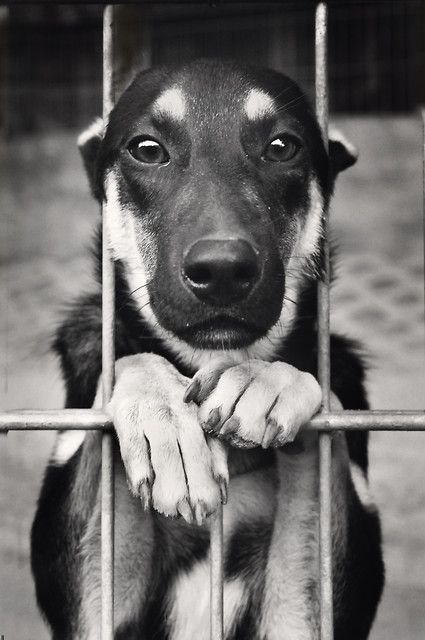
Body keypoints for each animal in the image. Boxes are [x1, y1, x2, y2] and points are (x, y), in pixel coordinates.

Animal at [30, 61, 384, 640]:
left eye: (282, 146)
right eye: (147, 149)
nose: (222, 270)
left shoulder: (303, 619)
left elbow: (317, 403)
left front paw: (268, 380)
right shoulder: (94, 613)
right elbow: (128, 361)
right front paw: (164, 423)